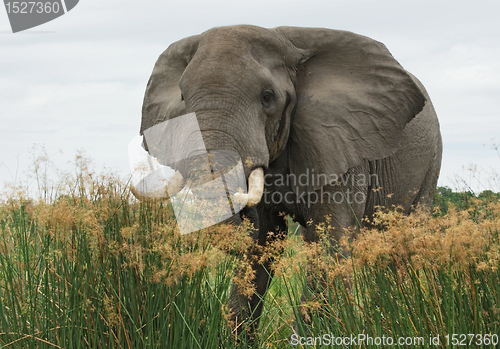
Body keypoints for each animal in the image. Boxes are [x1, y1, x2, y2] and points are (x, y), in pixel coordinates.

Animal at [136, 25, 442, 332]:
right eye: (183, 98)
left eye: (267, 97)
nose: (243, 214)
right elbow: (261, 249)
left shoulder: (341, 146)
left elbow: (329, 245)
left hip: (432, 161)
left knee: (405, 241)